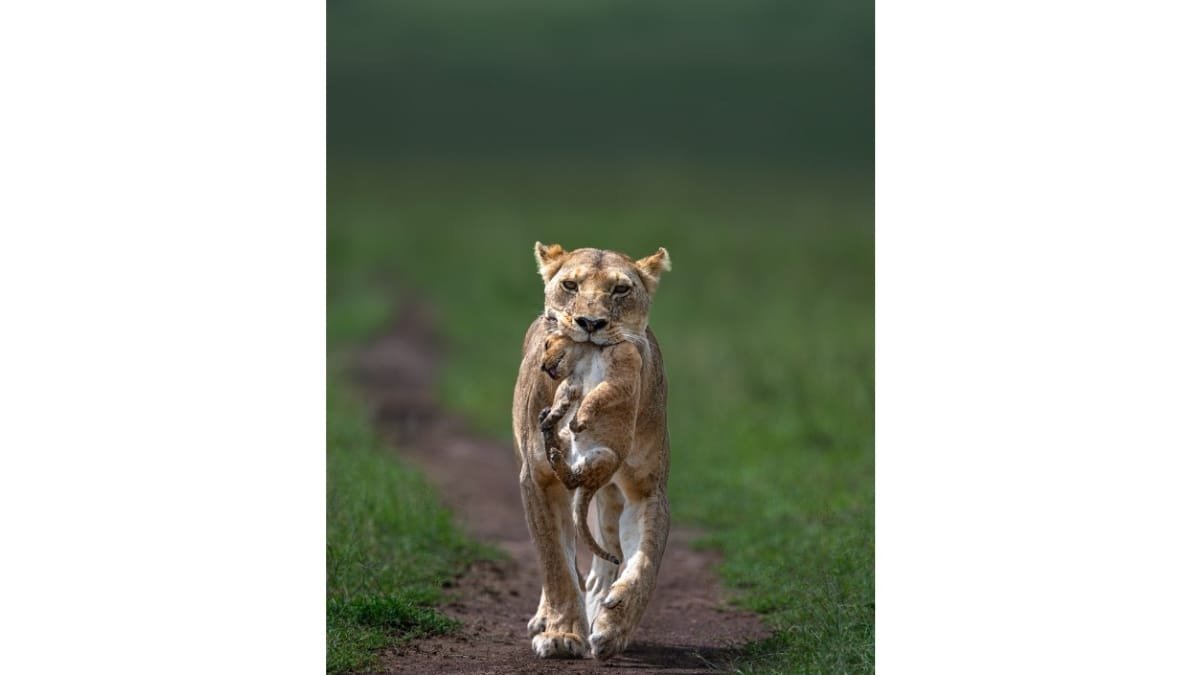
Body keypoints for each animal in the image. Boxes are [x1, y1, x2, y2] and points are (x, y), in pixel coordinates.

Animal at [537, 330, 642, 568]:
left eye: (547, 344)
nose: (541, 367)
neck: (588, 355)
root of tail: (596, 484)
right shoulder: (573, 382)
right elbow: (561, 396)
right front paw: (552, 414)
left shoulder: (620, 378)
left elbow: (596, 395)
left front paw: (579, 421)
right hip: (568, 441)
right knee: (564, 465)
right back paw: (547, 429)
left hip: (604, 456)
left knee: (574, 480)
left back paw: (557, 454)